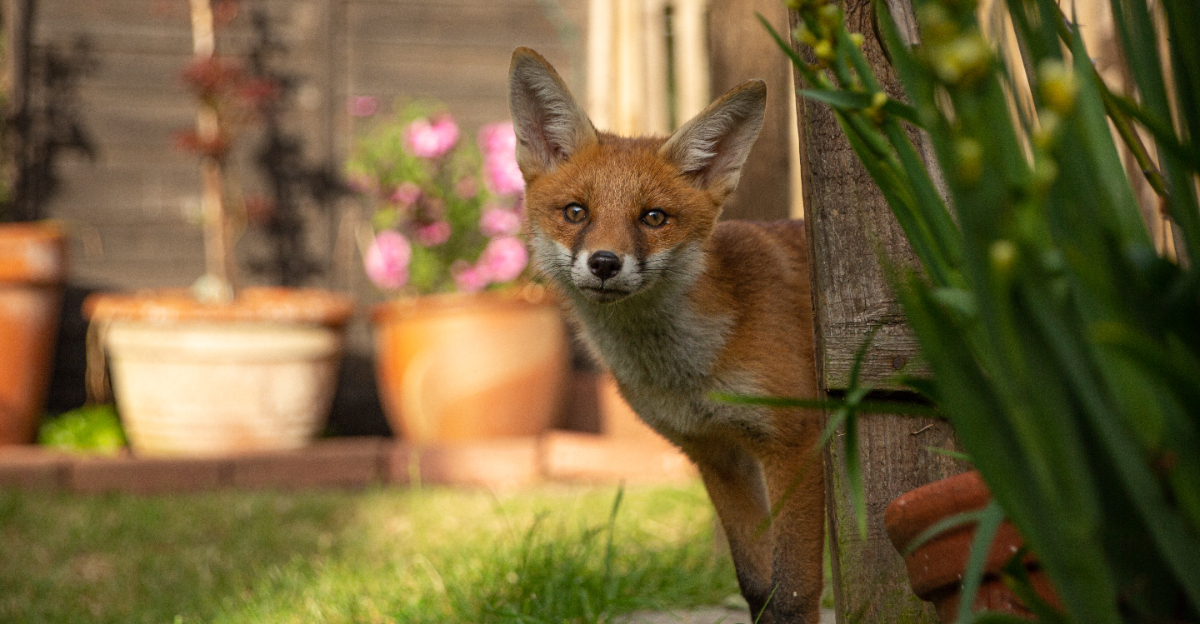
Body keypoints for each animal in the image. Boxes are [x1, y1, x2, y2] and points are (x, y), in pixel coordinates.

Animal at [508, 47, 824, 623]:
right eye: (576, 212)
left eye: (653, 217)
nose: (604, 263)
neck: (691, 371)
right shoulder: (718, 455)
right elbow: (756, 586)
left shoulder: (794, 443)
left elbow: (791, 593)